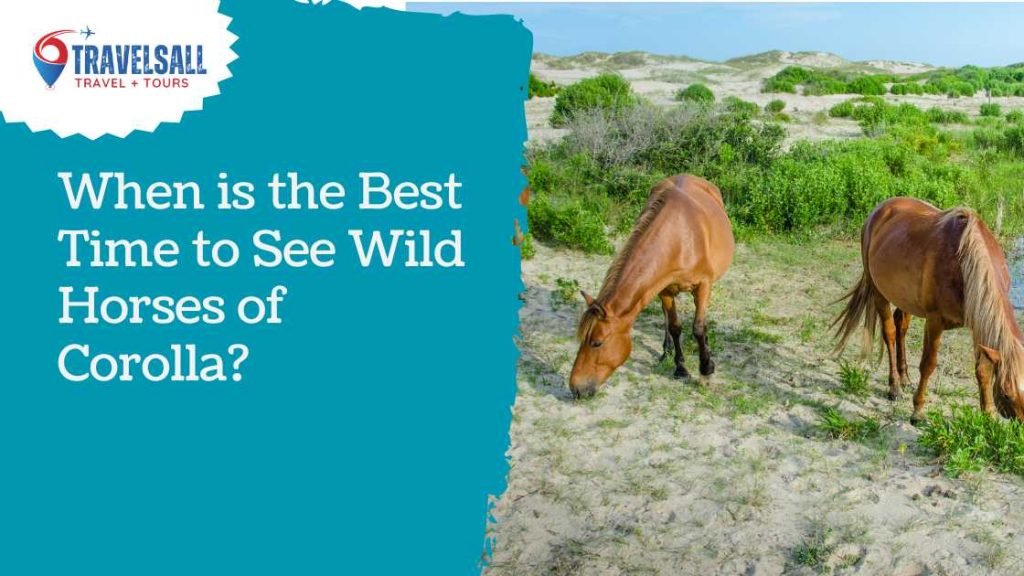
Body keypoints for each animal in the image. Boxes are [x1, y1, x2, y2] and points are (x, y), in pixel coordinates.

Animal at [569, 174, 735, 399]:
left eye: (596, 343)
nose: (575, 388)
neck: (680, 238)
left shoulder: (703, 286)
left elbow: (699, 328)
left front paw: (706, 371)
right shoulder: (664, 290)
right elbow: (675, 326)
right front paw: (680, 368)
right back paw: (666, 349)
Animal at [833, 197, 1024, 423]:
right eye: (1006, 394)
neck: (964, 265)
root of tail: (881, 208)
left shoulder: (980, 323)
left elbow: (983, 369)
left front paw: (988, 413)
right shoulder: (935, 321)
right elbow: (928, 364)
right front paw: (918, 410)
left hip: (905, 299)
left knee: (901, 327)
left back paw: (905, 377)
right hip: (878, 292)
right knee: (889, 333)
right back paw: (894, 386)